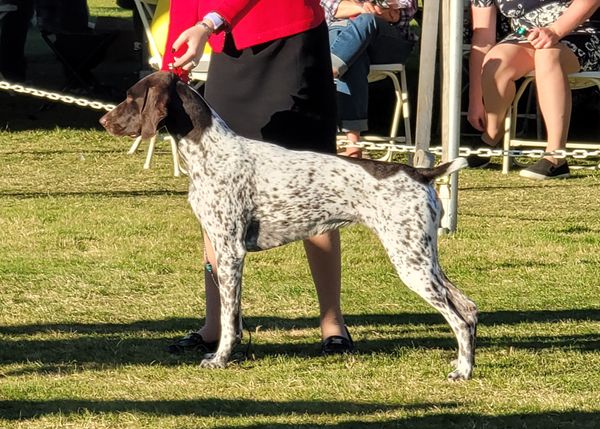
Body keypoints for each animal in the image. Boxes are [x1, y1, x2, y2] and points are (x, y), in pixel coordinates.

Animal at [102, 72, 478, 380]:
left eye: (132, 97)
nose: (103, 119)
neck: (210, 152)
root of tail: (421, 172)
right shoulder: (220, 247)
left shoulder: (230, 252)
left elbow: (229, 317)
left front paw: (221, 358)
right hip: (425, 258)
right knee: (469, 310)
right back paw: (464, 362)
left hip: (410, 261)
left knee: (459, 318)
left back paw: (462, 372)